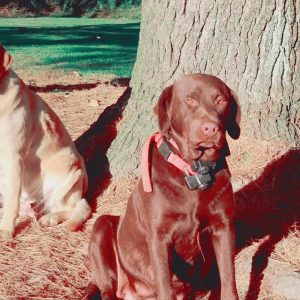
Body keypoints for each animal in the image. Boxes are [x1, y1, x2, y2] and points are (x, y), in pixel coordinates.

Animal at [0, 45, 91, 239]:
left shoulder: (13, 157)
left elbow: (11, 202)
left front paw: (6, 230)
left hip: (73, 171)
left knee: (74, 207)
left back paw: (51, 217)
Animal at [85, 74, 240, 298]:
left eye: (220, 100)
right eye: (189, 100)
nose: (210, 128)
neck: (193, 172)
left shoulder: (224, 225)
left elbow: (228, 279)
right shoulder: (159, 236)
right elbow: (165, 286)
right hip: (102, 227)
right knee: (107, 289)